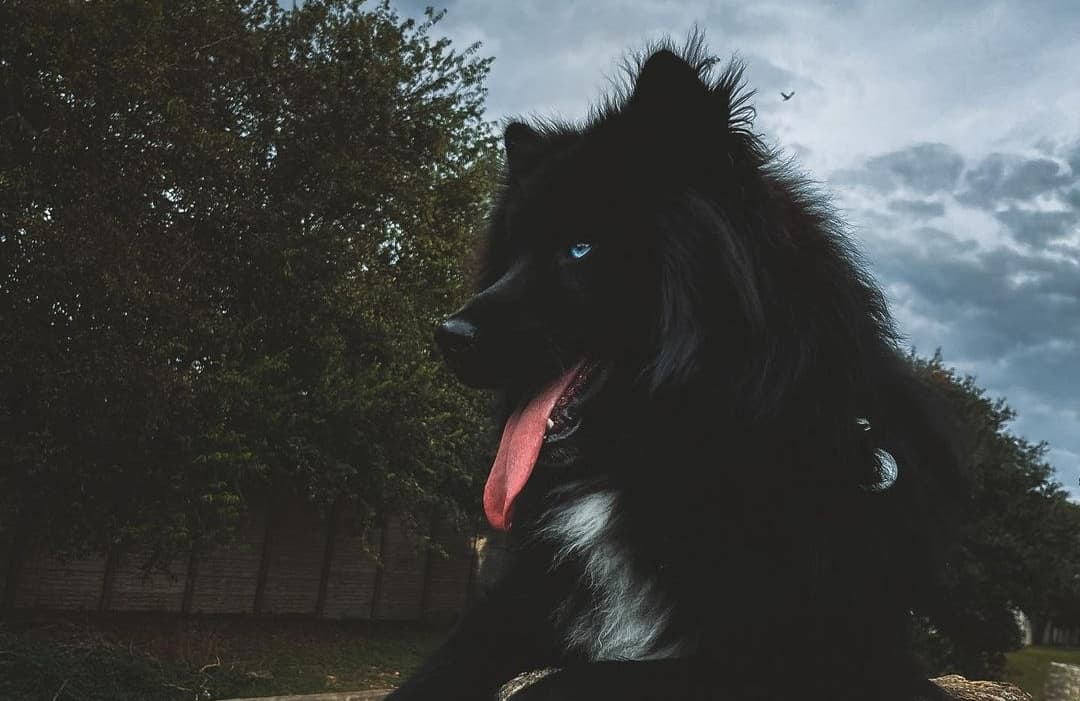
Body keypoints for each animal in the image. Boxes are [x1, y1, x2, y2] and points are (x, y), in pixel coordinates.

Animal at [390, 39, 963, 699]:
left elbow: (565, 682)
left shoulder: (818, 654)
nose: (448, 336)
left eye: (581, 248)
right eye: (510, 256)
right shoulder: (520, 600)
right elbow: (439, 667)